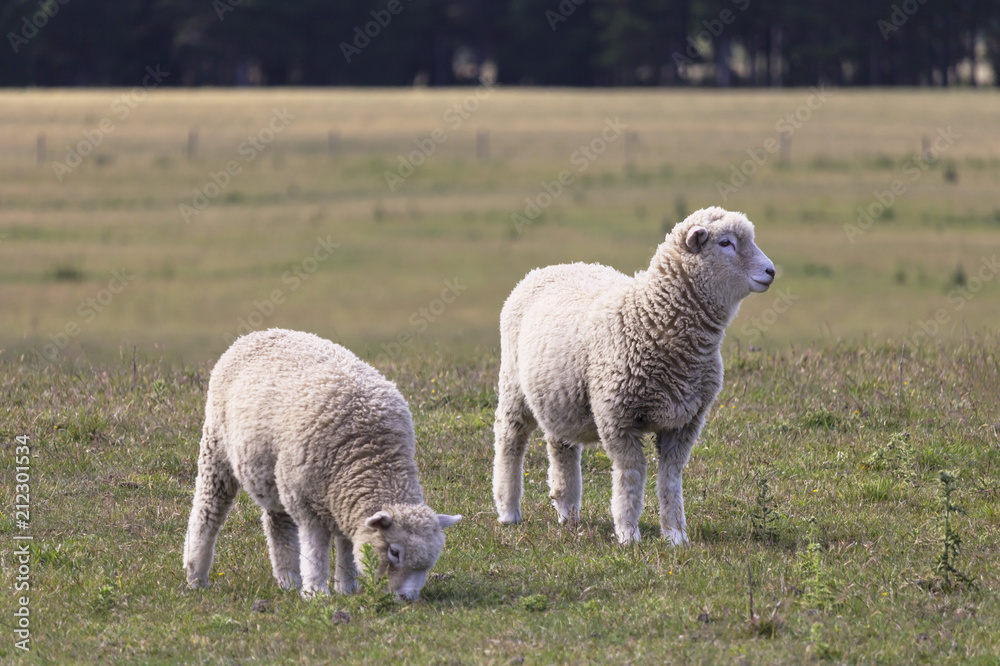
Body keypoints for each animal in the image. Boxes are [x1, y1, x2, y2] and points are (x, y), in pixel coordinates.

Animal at [184, 330, 460, 600]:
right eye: (394, 552)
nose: (408, 598)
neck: (370, 456)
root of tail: (255, 334)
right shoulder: (307, 502)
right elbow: (315, 550)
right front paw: (316, 593)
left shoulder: (342, 501)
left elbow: (347, 547)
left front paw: (347, 588)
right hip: (217, 448)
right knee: (208, 511)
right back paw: (196, 576)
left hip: (276, 473)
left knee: (278, 524)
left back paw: (288, 579)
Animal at [492, 205, 772, 544]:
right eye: (726, 243)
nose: (771, 271)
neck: (651, 317)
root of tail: (548, 268)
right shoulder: (617, 416)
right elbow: (632, 472)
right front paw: (628, 533)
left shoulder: (686, 421)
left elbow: (671, 477)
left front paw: (676, 535)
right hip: (513, 384)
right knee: (510, 438)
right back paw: (508, 510)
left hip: (560, 395)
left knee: (561, 447)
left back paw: (567, 511)